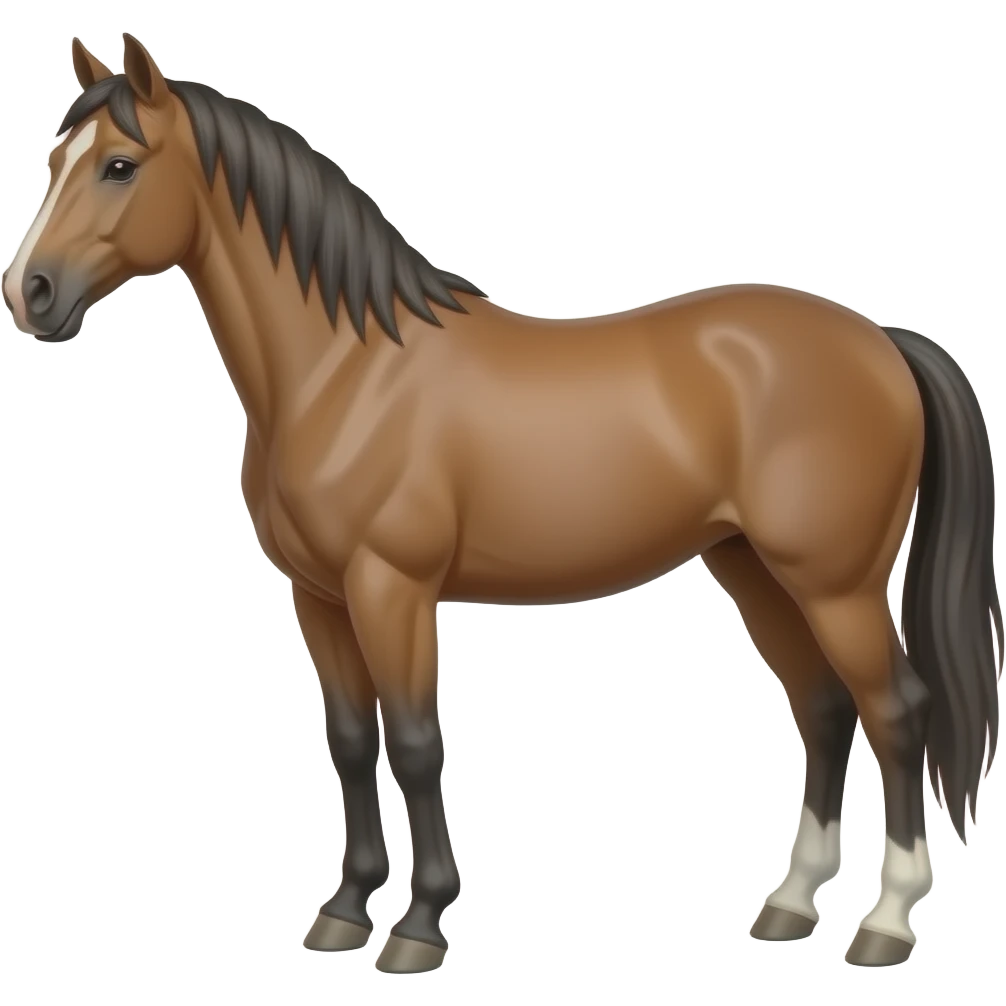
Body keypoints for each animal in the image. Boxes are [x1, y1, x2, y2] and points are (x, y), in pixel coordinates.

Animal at [4, 34, 1001, 974]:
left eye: (119, 165)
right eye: (55, 160)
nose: (30, 294)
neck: (346, 372)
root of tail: (881, 340)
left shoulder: (392, 589)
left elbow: (414, 743)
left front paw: (420, 926)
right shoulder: (318, 598)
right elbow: (350, 740)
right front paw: (343, 911)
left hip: (836, 585)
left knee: (896, 711)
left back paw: (886, 921)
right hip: (753, 568)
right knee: (824, 708)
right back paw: (791, 904)